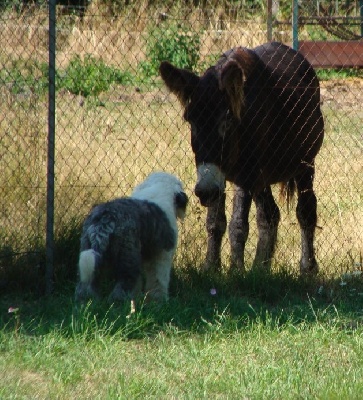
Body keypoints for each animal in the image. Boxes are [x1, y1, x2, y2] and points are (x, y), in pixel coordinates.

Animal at [74, 172, 188, 304]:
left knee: (85, 285)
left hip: (88, 250)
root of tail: (106, 218)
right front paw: (158, 300)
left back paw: (86, 303)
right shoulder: (162, 255)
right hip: (128, 255)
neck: (160, 189)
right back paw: (121, 306)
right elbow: (158, 279)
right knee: (123, 284)